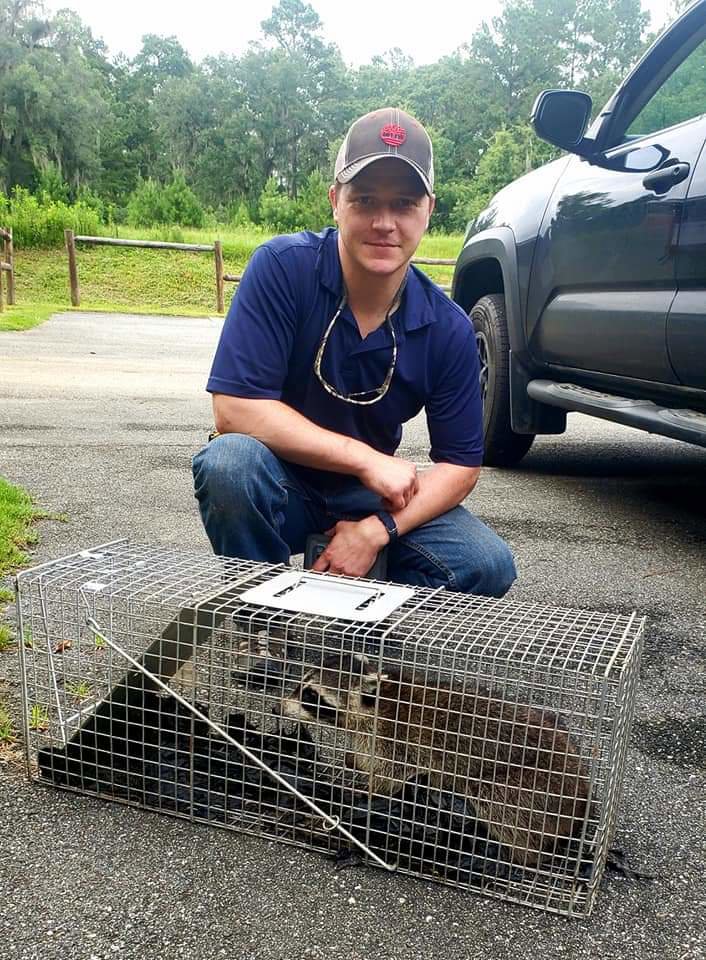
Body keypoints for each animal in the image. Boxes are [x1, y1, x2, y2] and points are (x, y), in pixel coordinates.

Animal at [279, 652, 592, 868]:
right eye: (301, 684)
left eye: (312, 695)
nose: (278, 707)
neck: (378, 701)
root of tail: (582, 798)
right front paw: (352, 761)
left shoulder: (393, 742)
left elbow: (387, 779)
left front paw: (358, 801)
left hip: (534, 787)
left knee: (496, 801)